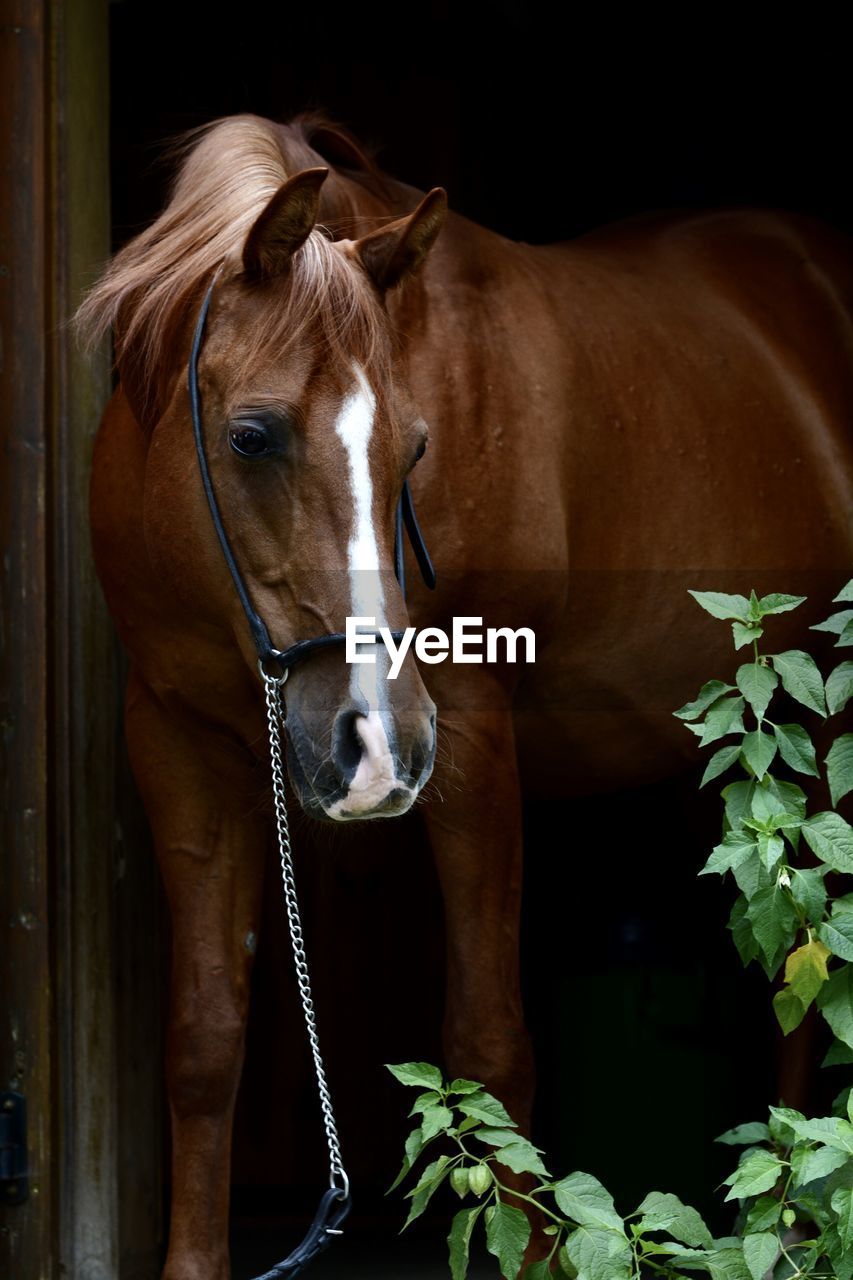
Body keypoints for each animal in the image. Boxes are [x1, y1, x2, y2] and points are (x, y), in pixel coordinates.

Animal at [78, 112, 850, 1280]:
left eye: (416, 446)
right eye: (251, 435)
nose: (377, 747)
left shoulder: (476, 736)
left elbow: (491, 1046)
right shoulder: (177, 740)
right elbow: (204, 1039)